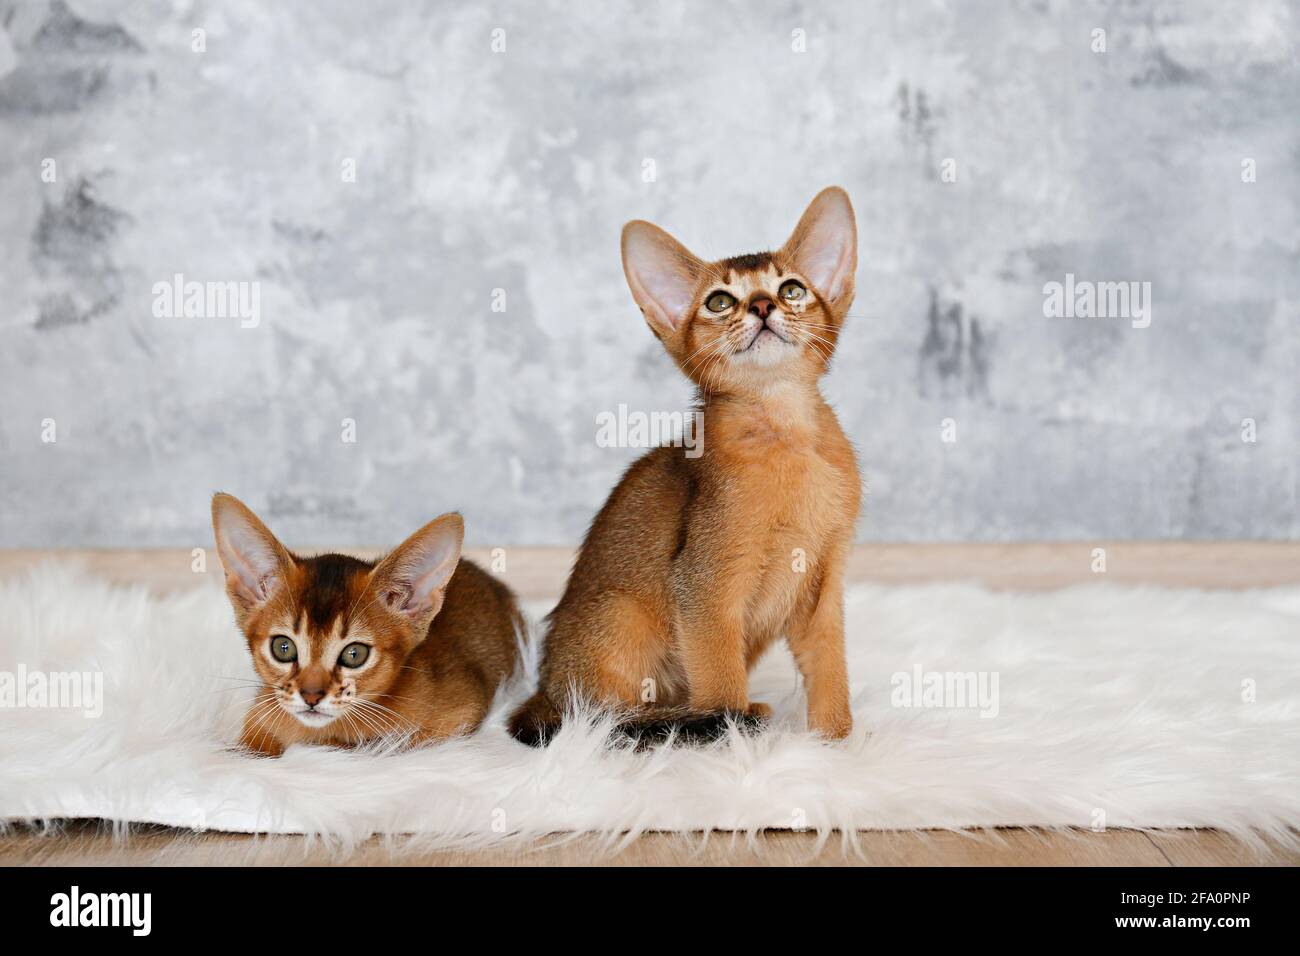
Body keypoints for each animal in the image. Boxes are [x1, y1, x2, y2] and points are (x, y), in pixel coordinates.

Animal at [509, 187, 863, 749]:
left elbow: (830, 668)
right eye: (719, 302)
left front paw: (837, 743)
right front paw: (733, 738)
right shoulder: (704, 584)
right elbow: (720, 678)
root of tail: (543, 690)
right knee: (604, 718)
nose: (762, 306)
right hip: (619, 617)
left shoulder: (823, 585)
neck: (786, 435)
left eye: (792, 290)